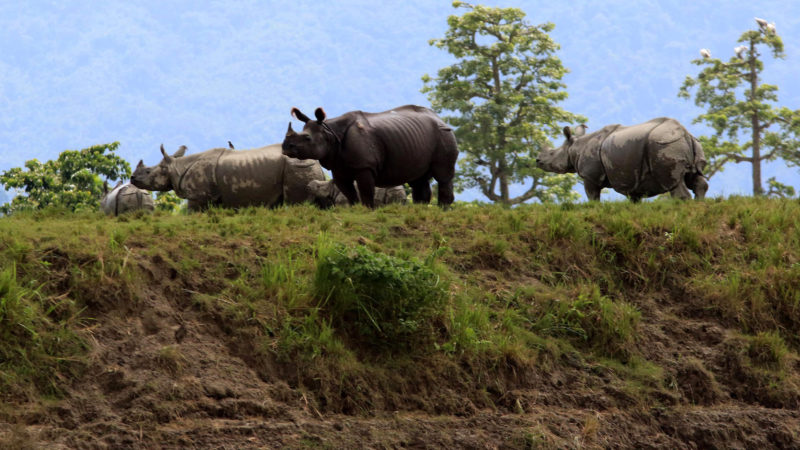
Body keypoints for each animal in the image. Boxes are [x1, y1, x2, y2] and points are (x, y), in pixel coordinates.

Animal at [130, 143, 324, 210]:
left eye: (148, 171)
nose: (132, 178)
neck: (176, 167)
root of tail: (318, 164)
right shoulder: (216, 197)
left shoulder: (199, 196)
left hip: (296, 167)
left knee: (297, 203)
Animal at [280, 105, 456, 209]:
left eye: (307, 138)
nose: (285, 147)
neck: (329, 131)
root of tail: (440, 118)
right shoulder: (338, 167)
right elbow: (349, 193)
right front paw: (354, 210)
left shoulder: (365, 166)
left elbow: (365, 191)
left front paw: (367, 210)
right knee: (418, 179)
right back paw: (420, 209)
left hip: (444, 134)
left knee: (443, 176)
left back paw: (442, 210)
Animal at [536, 117, 708, 201]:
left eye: (551, 153)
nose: (537, 161)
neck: (574, 148)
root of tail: (684, 133)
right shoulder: (633, 179)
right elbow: (634, 200)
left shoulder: (590, 176)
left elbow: (592, 197)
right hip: (691, 144)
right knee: (695, 180)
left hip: (664, 144)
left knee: (674, 184)